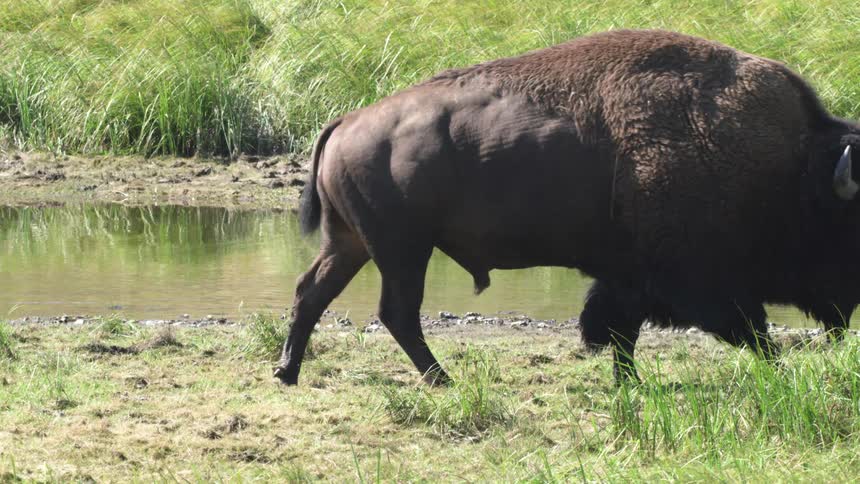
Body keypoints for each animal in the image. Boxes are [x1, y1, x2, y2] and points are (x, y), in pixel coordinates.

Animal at [274, 29, 859, 386]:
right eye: (846, 223)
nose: (848, 308)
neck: (788, 166)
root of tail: (347, 121)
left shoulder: (629, 277)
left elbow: (619, 331)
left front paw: (629, 384)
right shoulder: (700, 281)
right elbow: (749, 332)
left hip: (351, 242)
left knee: (311, 292)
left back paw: (288, 372)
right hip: (401, 250)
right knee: (396, 311)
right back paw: (442, 380)